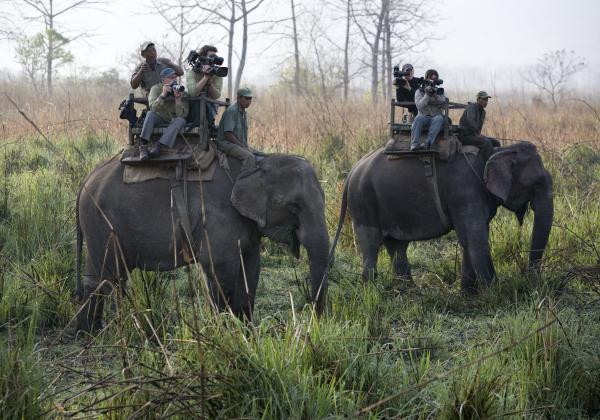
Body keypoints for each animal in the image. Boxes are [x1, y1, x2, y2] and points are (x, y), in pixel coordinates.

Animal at [75, 152, 330, 332]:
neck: (258, 161)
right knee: (103, 277)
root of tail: (86, 180)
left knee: (113, 277)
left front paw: (246, 333)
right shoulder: (217, 217)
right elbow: (219, 269)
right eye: (295, 206)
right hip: (101, 222)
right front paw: (227, 333)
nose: (313, 325)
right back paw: (89, 333)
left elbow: (250, 269)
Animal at [330, 142, 556, 292]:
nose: (531, 281)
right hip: (363, 202)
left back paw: (408, 291)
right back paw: (371, 290)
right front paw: (495, 293)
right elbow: (476, 236)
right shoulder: (465, 190)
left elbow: (470, 237)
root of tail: (351, 173)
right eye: (536, 183)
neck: (495, 152)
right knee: (370, 244)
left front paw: (468, 292)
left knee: (397, 245)